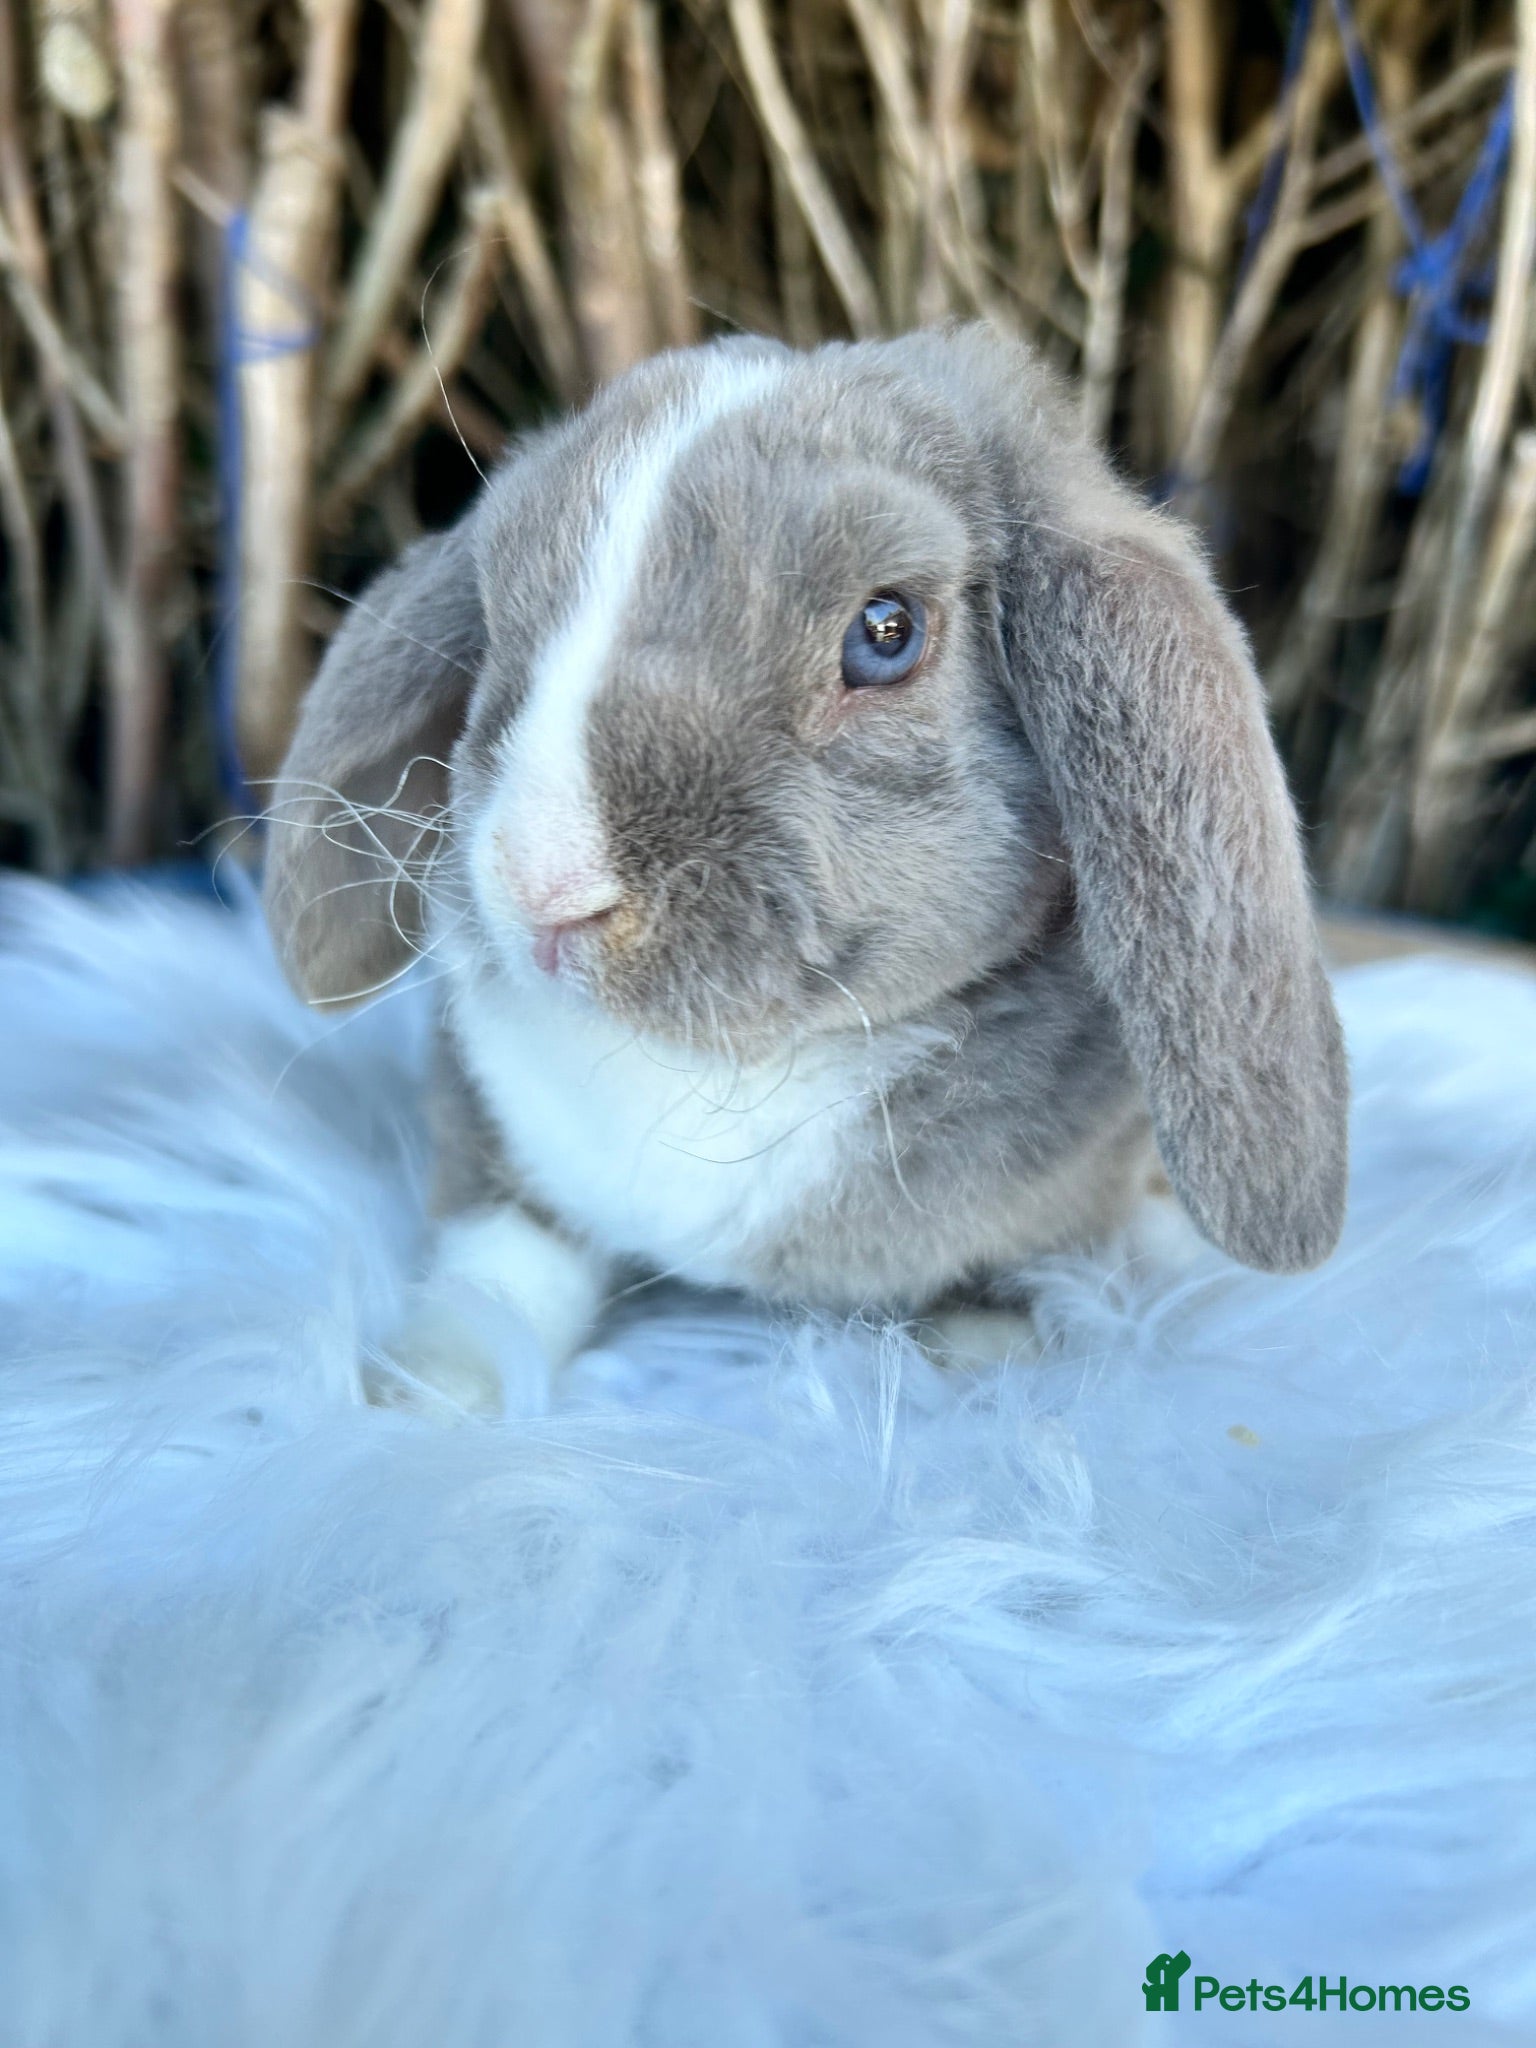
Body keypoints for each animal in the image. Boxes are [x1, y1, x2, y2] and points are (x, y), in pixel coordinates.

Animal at [263, 324, 1348, 1391]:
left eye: (887, 632)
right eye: (495, 624)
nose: (543, 887)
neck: (736, 1069)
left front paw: (987, 1366)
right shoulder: (501, 1145)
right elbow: (503, 1260)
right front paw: (425, 1387)